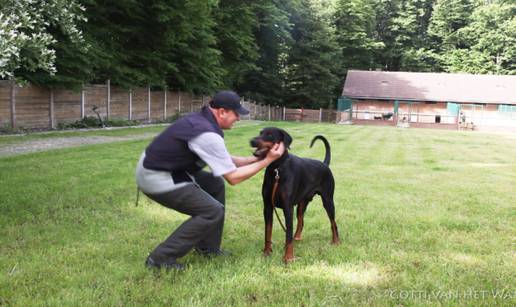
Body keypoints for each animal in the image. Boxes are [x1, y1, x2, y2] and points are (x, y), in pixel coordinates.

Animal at [249, 129, 338, 264]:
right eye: (260, 132)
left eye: (270, 134)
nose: (252, 141)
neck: (276, 170)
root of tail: (324, 164)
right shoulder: (268, 207)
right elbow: (267, 231)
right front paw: (266, 252)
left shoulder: (288, 208)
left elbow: (288, 234)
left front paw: (288, 257)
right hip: (302, 204)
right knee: (301, 221)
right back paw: (297, 237)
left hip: (328, 201)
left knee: (333, 222)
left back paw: (336, 241)